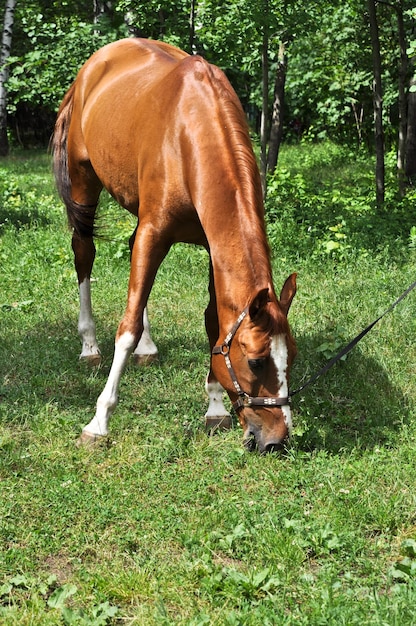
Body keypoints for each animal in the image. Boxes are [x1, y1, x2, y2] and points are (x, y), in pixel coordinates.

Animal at [52, 37, 298, 448]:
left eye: (291, 357)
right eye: (256, 361)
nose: (275, 440)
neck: (190, 133)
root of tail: (94, 65)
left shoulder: (211, 247)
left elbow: (214, 322)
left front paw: (214, 407)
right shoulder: (155, 231)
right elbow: (127, 327)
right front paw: (99, 421)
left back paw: (148, 347)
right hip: (84, 182)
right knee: (83, 252)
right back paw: (89, 346)